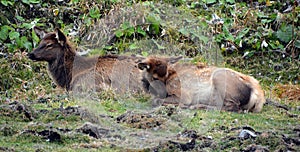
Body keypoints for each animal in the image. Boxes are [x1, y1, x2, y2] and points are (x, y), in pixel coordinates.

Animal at [137, 56, 266, 112]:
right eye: (154, 77)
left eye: (166, 73)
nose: (162, 92)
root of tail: (258, 95)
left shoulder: (183, 95)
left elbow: (155, 101)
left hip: (220, 79)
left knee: (233, 107)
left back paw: (197, 106)